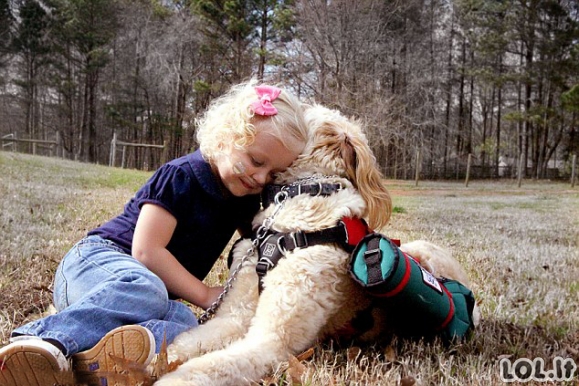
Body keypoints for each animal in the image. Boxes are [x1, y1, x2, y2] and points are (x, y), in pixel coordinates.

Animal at [155, 104, 480, 384]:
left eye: (303, 106)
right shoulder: (234, 315)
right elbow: (183, 343)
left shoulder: (272, 340)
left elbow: (209, 366)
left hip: (422, 251)